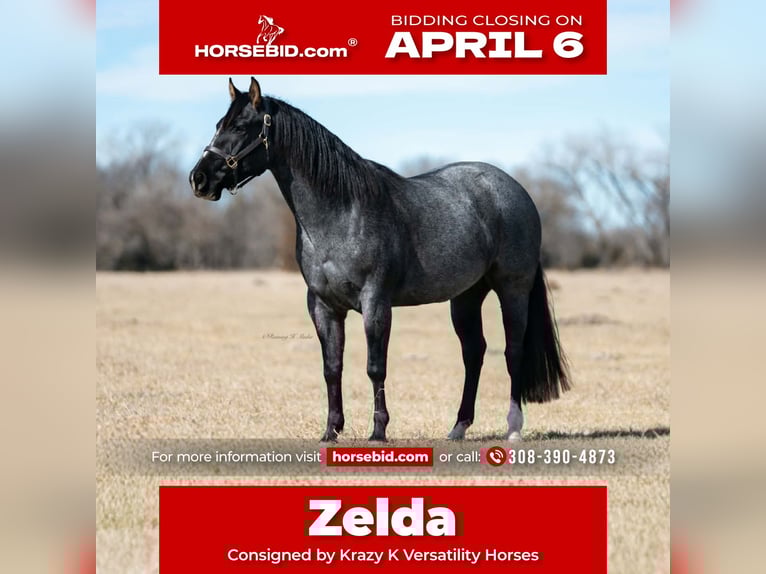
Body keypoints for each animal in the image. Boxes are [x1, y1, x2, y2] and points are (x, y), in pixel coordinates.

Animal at [190, 77, 570, 442]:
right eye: (218, 124)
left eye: (241, 127)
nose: (199, 179)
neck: (342, 212)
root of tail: (516, 191)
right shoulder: (323, 305)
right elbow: (332, 367)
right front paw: (331, 431)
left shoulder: (375, 302)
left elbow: (375, 367)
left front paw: (378, 431)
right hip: (465, 296)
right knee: (473, 353)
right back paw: (458, 428)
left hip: (512, 289)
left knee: (513, 351)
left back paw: (513, 428)